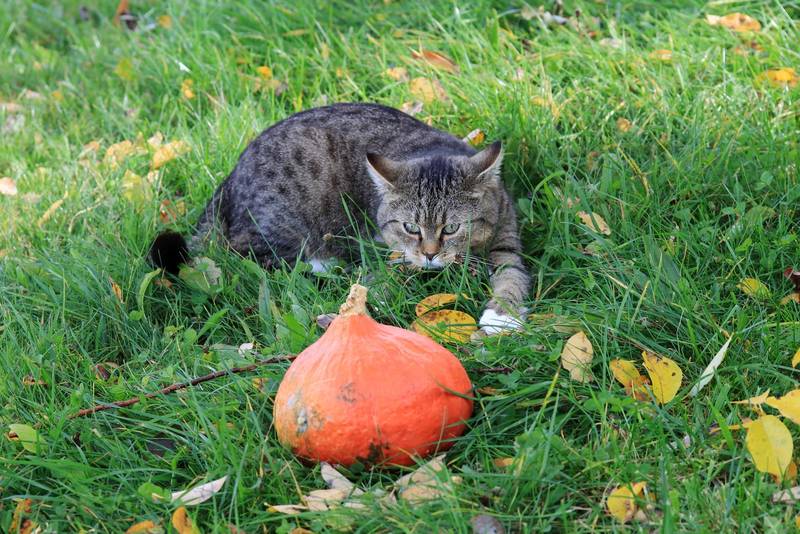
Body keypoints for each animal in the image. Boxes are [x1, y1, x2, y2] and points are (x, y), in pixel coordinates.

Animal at [149, 103, 530, 333]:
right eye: (410, 227)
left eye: (451, 227)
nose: (431, 255)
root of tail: (231, 176)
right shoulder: (396, 252)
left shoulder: (508, 241)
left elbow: (512, 276)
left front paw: (501, 317)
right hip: (283, 223)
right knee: (245, 255)